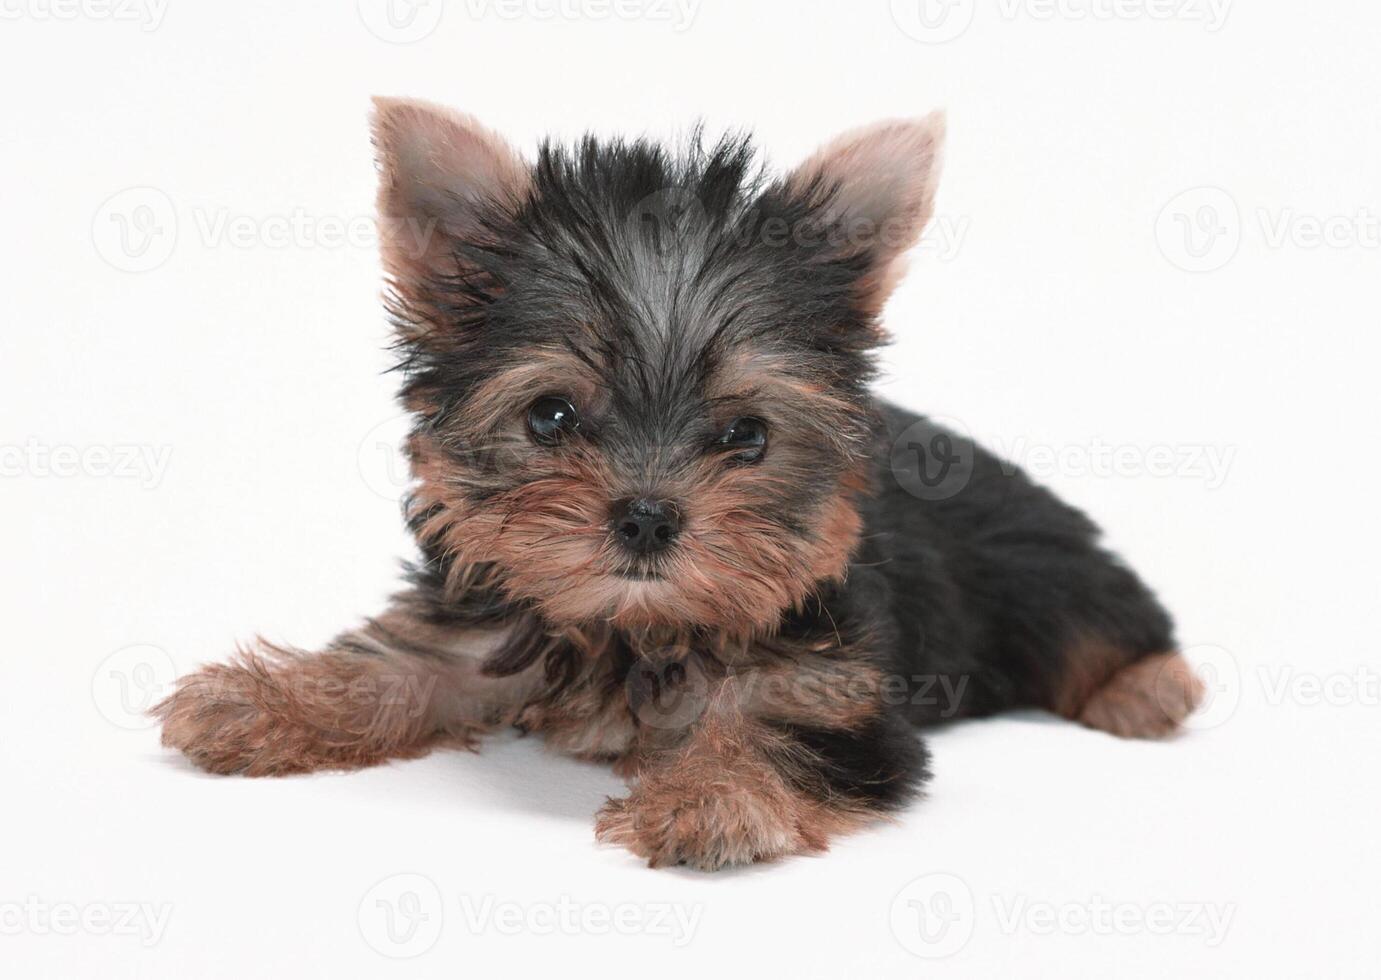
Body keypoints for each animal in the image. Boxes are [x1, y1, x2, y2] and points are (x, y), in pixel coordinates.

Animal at [156, 95, 1204, 872]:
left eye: (745, 435)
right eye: (551, 418)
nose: (648, 517)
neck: (634, 627)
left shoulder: (838, 690)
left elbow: (781, 730)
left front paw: (712, 795)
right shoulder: (479, 620)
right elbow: (395, 662)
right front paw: (265, 701)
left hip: (1037, 560)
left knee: (1100, 616)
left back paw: (1150, 688)